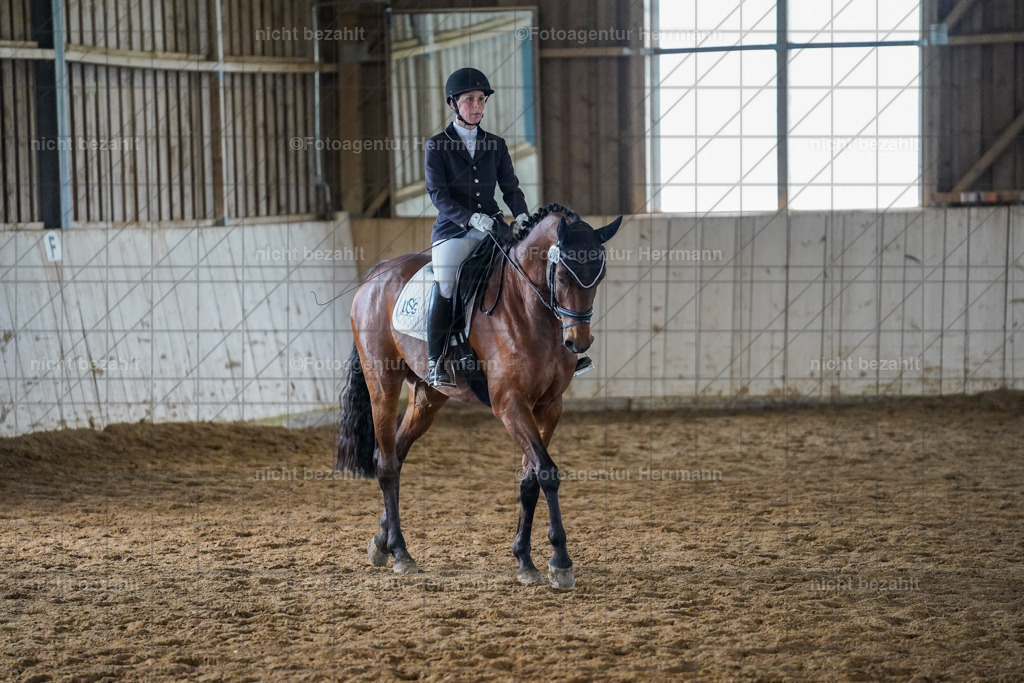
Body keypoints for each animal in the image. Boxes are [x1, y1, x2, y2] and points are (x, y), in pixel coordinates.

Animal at [335, 203, 622, 588]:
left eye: (599, 277)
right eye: (562, 278)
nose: (579, 342)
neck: (528, 309)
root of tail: (376, 274)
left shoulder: (549, 407)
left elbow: (530, 478)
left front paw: (525, 559)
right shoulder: (510, 404)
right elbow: (547, 472)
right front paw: (560, 561)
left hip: (427, 397)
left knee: (394, 453)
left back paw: (381, 543)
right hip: (382, 384)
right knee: (386, 464)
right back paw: (400, 552)